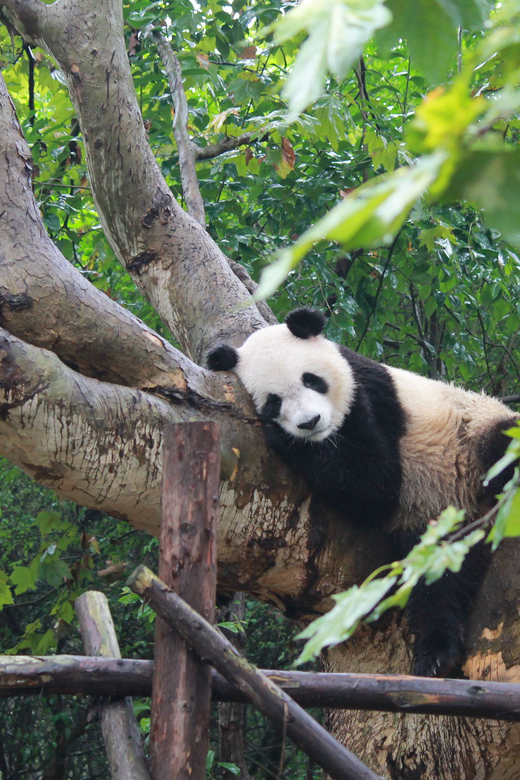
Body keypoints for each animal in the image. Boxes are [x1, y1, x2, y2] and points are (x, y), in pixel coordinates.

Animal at [206, 308, 516, 672]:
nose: (310, 422)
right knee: (439, 584)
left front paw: (284, 438)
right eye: (273, 401)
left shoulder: (368, 396)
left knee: (502, 444)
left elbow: (375, 484)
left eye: (311, 380)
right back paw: (437, 654)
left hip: (476, 434)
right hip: (441, 521)